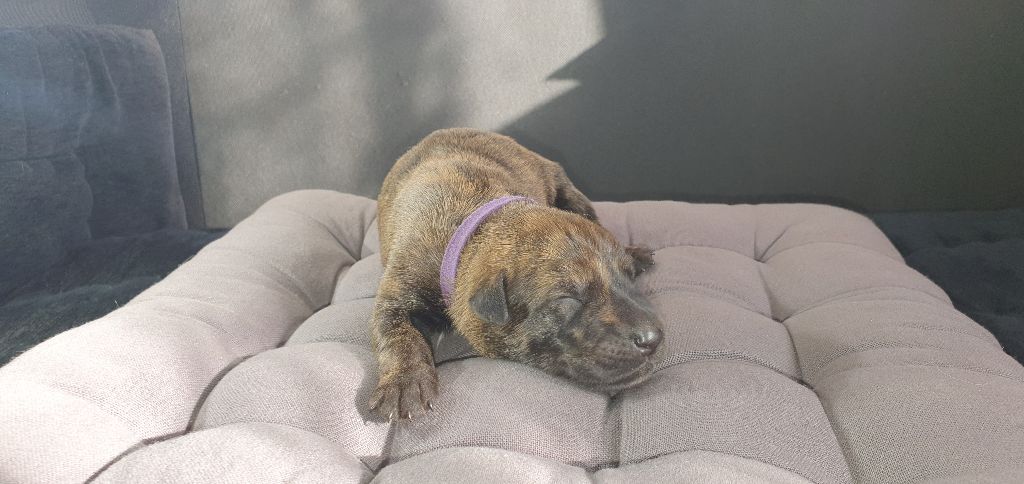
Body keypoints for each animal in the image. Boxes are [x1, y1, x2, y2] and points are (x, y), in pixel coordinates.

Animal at [370, 128, 663, 421]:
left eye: (628, 279)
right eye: (568, 300)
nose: (654, 338)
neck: (474, 227)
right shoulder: (397, 290)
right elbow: (397, 334)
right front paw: (405, 381)